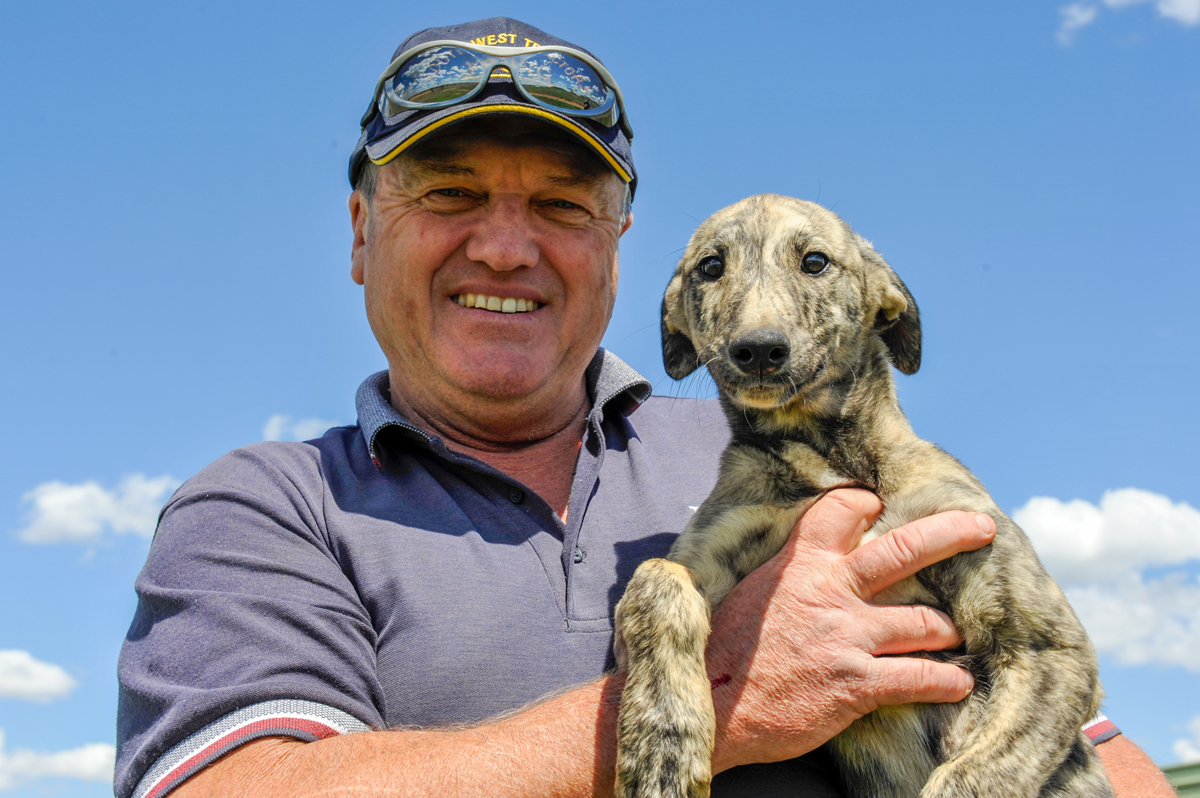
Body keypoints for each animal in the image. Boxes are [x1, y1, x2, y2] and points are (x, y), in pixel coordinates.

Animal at [619, 195, 1113, 796]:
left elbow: (970, 776)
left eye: (815, 262)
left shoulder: (1047, 647)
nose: (758, 350)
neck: (830, 459)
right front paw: (661, 746)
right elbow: (654, 579)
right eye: (711, 267)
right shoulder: (711, 550)